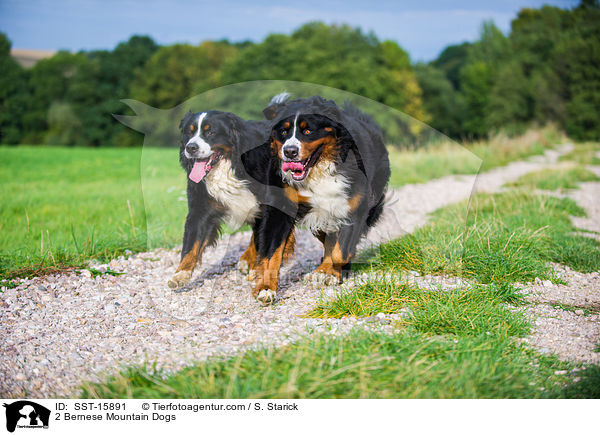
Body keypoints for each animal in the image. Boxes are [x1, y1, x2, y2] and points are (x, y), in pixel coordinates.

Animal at [168, 110, 274, 290]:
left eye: (210, 132)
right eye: (189, 132)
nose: (191, 147)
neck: (230, 167)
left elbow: (261, 239)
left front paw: (257, 269)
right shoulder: (200, 208)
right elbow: (192, 243)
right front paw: (180, 273)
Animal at [246, 95, 392, 306]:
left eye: (308, 131)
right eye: (283, 132)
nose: (289, 151)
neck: (318, 169)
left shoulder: (355, 207)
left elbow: (341, 250)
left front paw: (328, 273)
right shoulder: (280, 207)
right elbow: (271, 252)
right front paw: (266, 288)